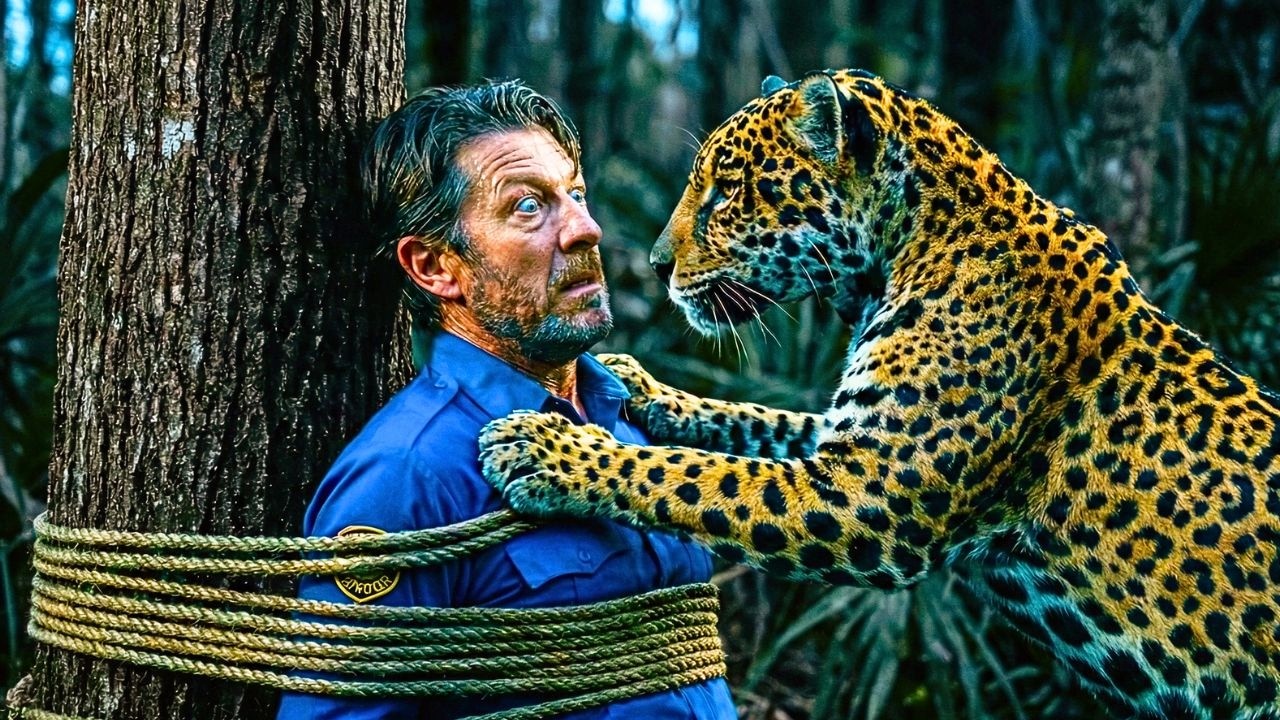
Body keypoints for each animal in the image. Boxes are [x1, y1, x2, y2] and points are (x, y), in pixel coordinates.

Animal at [479, 69, 1280, 719]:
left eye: (727, 193)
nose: (653, 264)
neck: (907, 252)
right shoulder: (849, 437)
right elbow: (748, 418)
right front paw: (640, 384)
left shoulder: (876, 493)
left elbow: (696, 474)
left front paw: (545, 448)